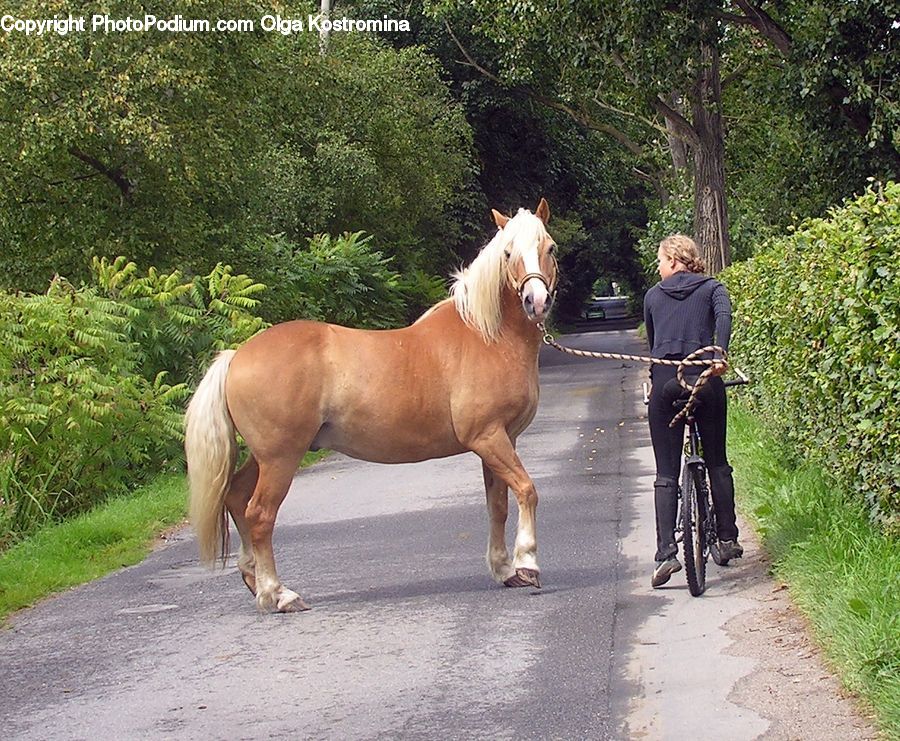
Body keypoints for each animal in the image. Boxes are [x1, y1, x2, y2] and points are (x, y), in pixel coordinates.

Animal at [185, 199, 556, 608]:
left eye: (550, 248)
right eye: (508, 254)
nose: (536, 302)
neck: (486, 335)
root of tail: (236, 355)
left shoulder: (500, 440)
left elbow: (499, 505)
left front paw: (505, 571)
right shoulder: (488, 437)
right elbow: (527, 490)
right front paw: (528, 564)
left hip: (266, 456)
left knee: (236, 497)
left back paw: (255, 582)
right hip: (280, 458)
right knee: (259, 513)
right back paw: (278, 594)